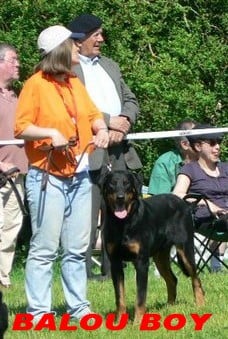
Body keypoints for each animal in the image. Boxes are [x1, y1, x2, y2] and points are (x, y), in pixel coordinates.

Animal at [100, 171, 205, 326]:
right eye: (112, 183)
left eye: (127, 183)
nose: (120, 197)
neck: (123, 223)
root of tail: (185, 203)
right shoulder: (115, 263)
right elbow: (120, 297)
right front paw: (118, 323)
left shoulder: (141, 262)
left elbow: (140, 297)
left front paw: (137, 323)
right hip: (160, 257)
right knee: (172, 280)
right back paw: (169, 307)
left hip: (185, 249)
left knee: (195, 279)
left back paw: (200, 305)